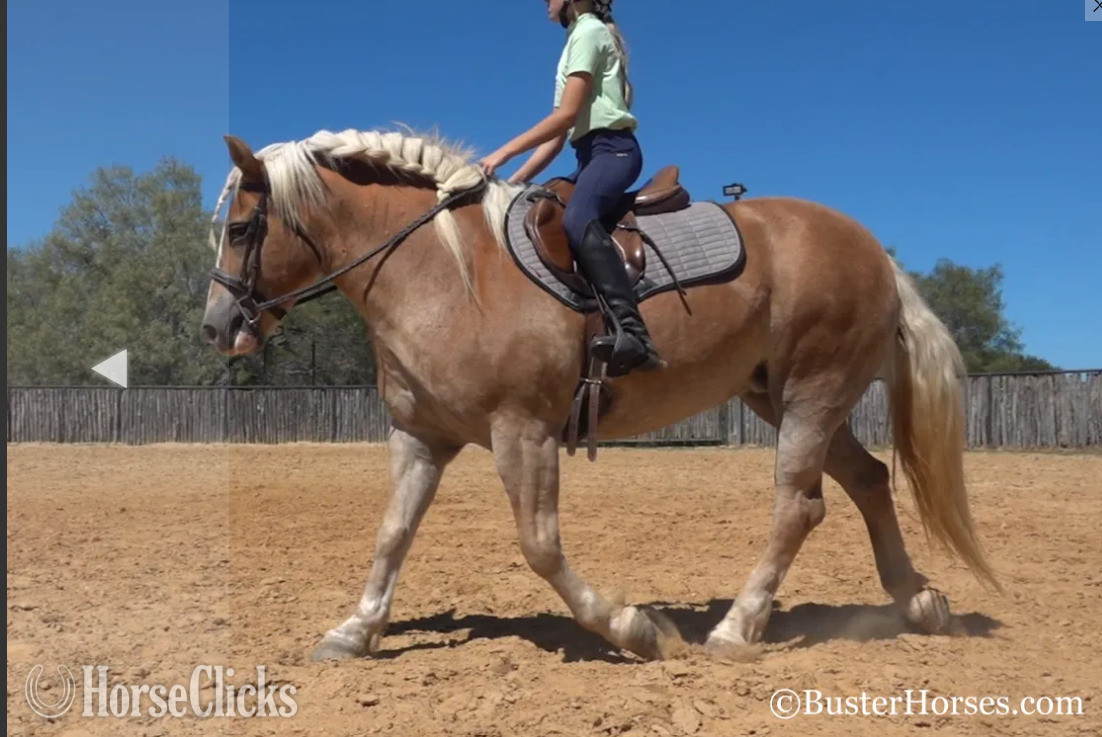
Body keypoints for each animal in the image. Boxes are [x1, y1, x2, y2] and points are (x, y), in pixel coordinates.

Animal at [201, 128, 998, 661]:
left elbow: (540, 546)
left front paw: (633, 627)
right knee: (869, 479)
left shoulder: (522, 432)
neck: (446, 273)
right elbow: (392, 533)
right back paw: (918, 601)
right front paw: (356, 629)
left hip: (812, 393)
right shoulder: (421, 434)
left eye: (240, 228)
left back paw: (736, 627)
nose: (218, 327)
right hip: (781, 397)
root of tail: (874, 252)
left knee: (799, 506)